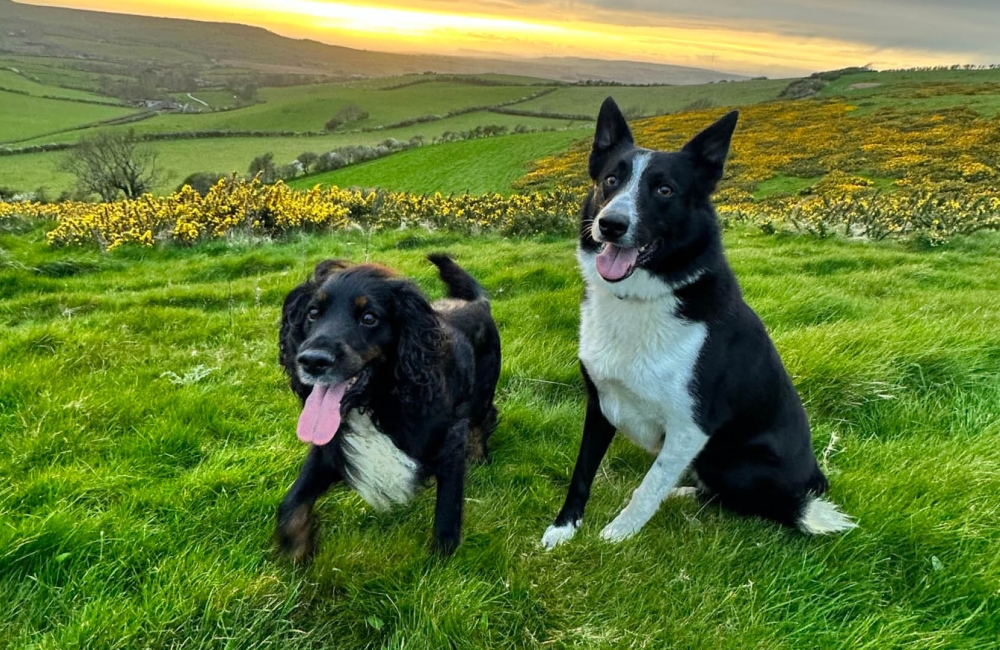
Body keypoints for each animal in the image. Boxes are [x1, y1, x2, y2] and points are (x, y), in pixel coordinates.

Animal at [276, 253, 500, 556]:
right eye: (313, 313)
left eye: (369, 318)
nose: (311, 361)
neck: (377, 403)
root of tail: (477, 302)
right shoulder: (330, 447)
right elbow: (290, 506)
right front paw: (297, 552)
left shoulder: (449, 441)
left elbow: (446, 519)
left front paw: (441, 563)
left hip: (482, 391)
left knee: (484, 418)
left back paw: (478, 456)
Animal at [544, 98, 856, 544]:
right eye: (610, 180)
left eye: (664, 190)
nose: (610, 224)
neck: (642, 298)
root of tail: (814, 480)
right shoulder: (599, 402)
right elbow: (582, 471)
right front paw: (563, 528)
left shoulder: (691, 427)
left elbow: (648, 486)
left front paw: (617, 534)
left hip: (733, 460)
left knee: (751, 503)